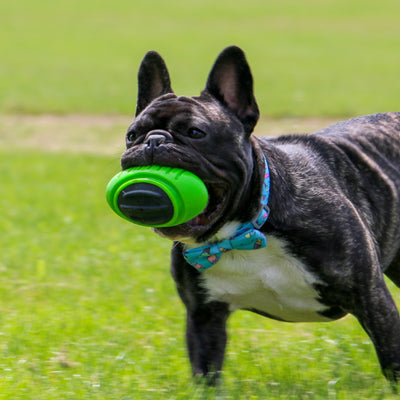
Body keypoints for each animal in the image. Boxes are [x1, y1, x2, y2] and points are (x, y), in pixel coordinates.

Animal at [120, 45, 400, 382]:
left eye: (196, 132)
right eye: (132, 135)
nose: (154, 140)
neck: (243, 231)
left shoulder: (372, 300)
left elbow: (393, 360)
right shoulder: (203, 316)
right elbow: (206, 372)